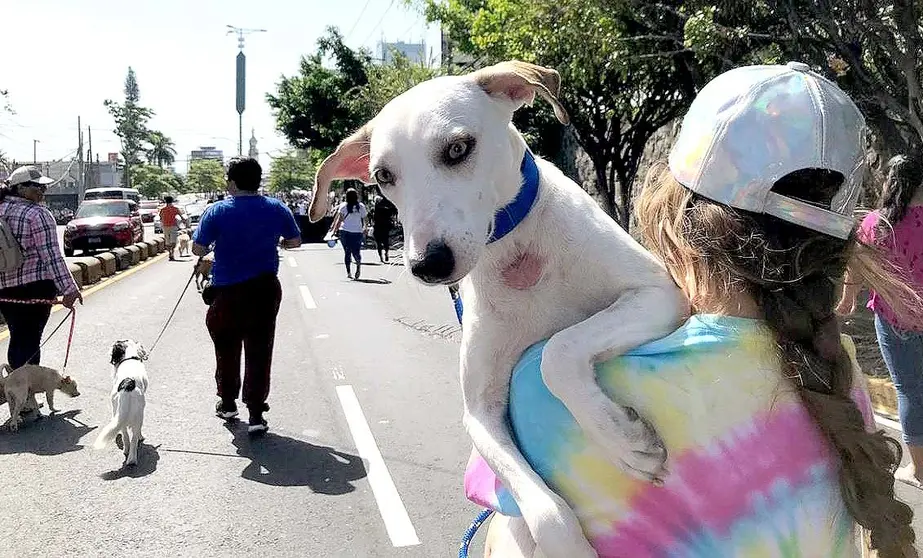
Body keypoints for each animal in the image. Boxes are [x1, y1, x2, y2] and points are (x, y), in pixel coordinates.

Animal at [310, 62, 684, 558]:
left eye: (457, 148)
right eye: (384, 175)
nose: (428, 265)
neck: (516, 251)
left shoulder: (659, 292)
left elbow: (557, 351)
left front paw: (622, 440)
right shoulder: (480, 414)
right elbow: (544, 513)